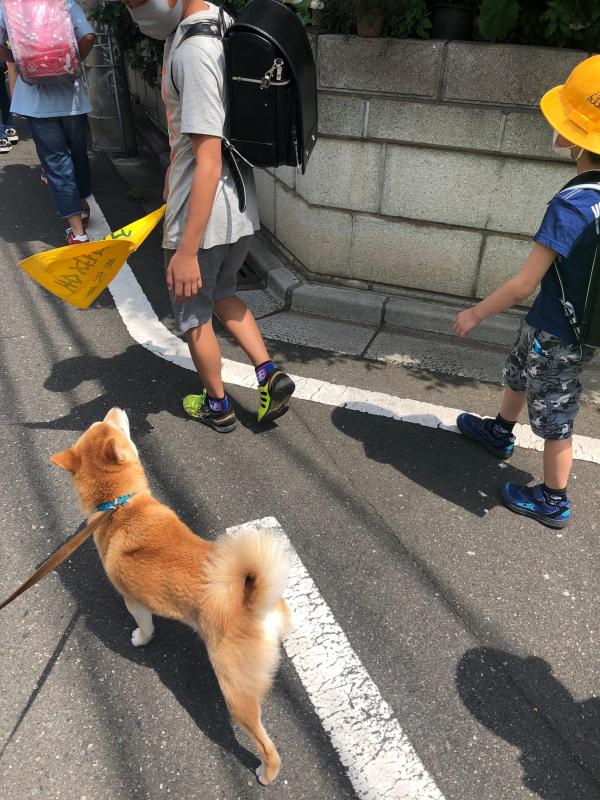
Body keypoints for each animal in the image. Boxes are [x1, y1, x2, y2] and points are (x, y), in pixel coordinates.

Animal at [51, 410, 290, 784]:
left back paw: (267, 773)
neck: (119, 506)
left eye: (111, 426)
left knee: (267, 746)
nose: (116, 407)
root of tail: (253, 601)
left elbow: (145, 627)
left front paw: (140, 639)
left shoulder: (134, 600)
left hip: (235, 691)